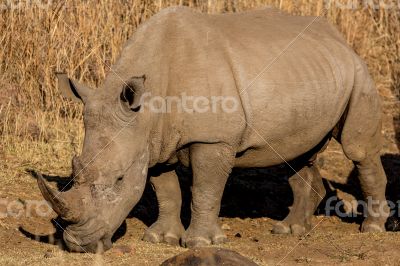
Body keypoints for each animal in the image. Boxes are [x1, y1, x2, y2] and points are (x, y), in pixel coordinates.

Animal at [37, 5, 388, 251]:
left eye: (119, 179)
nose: (78, 245)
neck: (147, 110)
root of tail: (340, 39)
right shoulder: (154, 142)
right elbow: (166, 191)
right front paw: (160, 239)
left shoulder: (212, 139)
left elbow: (205, 190)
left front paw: (200, 243)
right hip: (313, 74)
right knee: (300, 153)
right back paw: (291, 230)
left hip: (358, 72)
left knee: (357, 148)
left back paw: (372, 228)